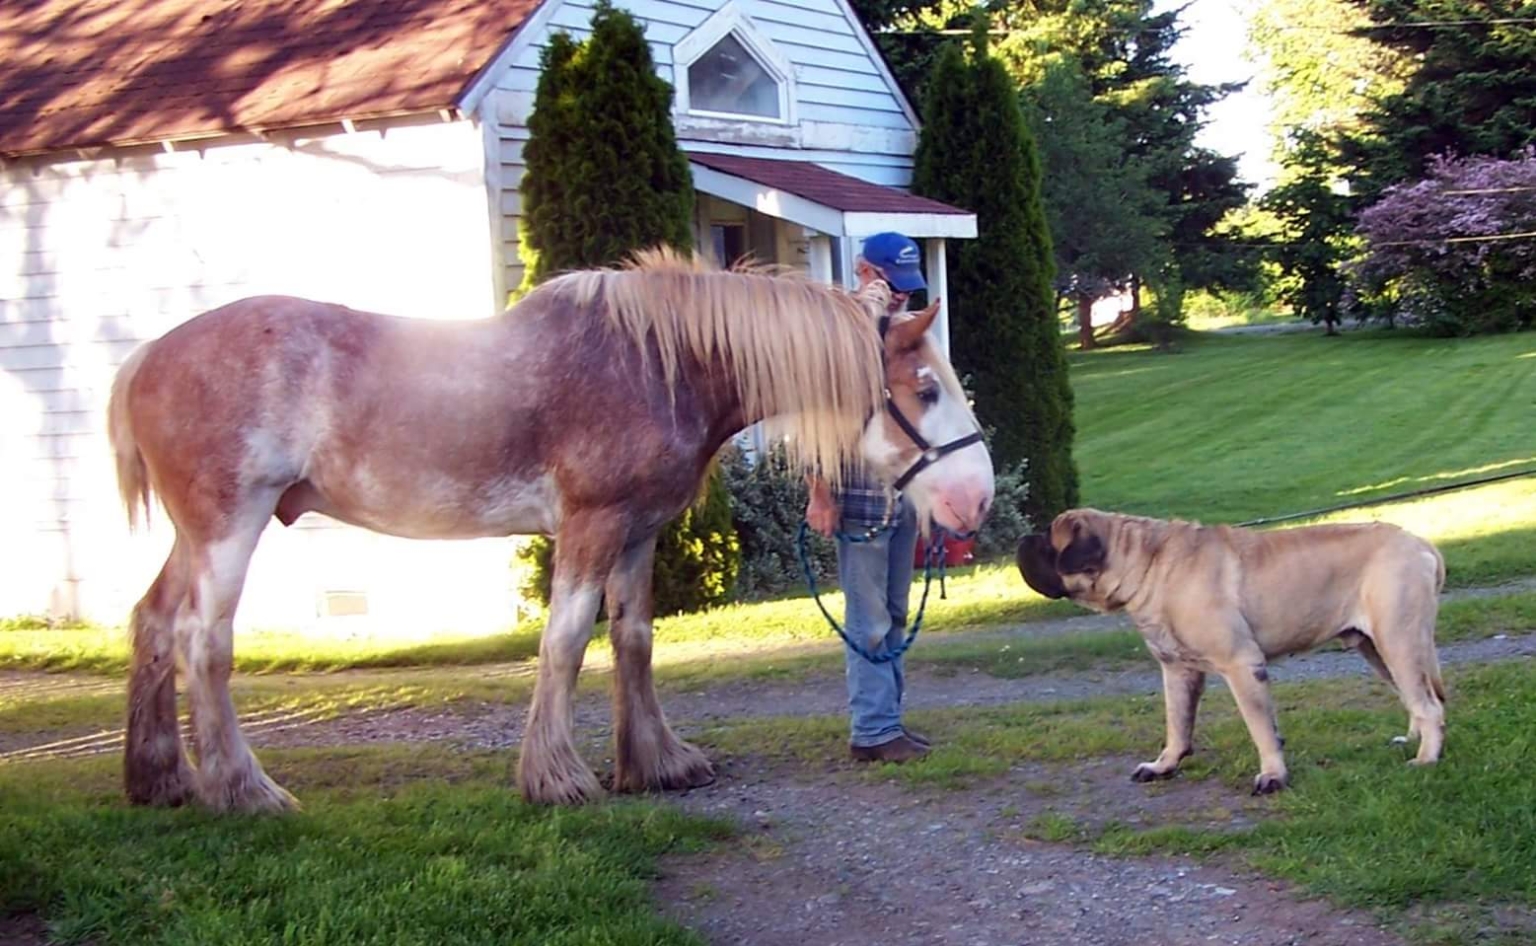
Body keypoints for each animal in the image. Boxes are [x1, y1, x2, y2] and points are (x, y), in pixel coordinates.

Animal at [105, 248, 995, 811]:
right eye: (923, 389)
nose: (978, 499)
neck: (659, 363)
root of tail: (147, 356)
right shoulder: (591, 525)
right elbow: (566, 641)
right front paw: (556, 778)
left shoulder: (638, 531)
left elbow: (632, 641)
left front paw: (657, 763)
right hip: (230, 524)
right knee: (203, 643)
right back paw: (243, 790)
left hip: (194, 535)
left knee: (152, 622)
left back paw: (162, 780)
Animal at [1016, 508, 1447, 794]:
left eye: (1048, 543)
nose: (1023, 540)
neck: (1147, 565)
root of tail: (1421, 544)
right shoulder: (1178, 670)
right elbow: (1177, 723)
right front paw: (1164, 765)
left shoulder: (1241, 665)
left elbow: (1260, 728)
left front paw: (1273, 775)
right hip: (1377, 648)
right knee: (1415, 699)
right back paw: (1414, 741)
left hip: (1398, 639)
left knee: (1429, 705)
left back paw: (1426, 759)